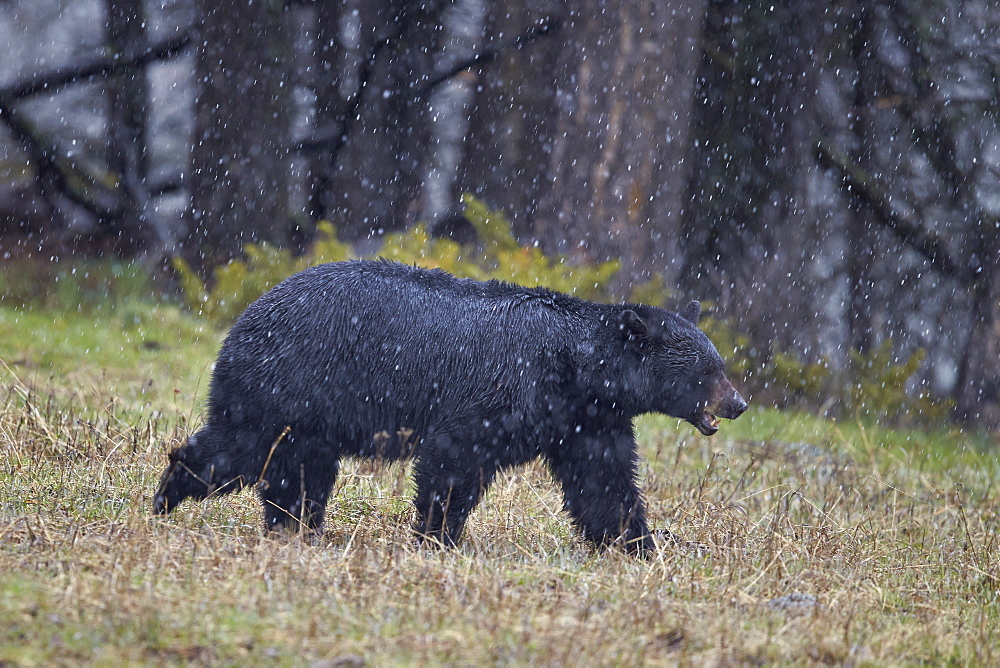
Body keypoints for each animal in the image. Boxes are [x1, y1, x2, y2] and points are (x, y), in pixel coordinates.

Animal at [156, 258, 748, 556]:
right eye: (708, 369)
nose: (738, 403)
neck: (580, 370)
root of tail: (247, 312)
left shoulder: (587, 420)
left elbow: (605, 483)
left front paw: (646, 544)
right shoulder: (509, 390)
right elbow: (456, 456)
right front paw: (437, 537)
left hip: (308, 415)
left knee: (297, 471)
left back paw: (295, 528)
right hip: (287, 383)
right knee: (239, 447)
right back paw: (167, 496)